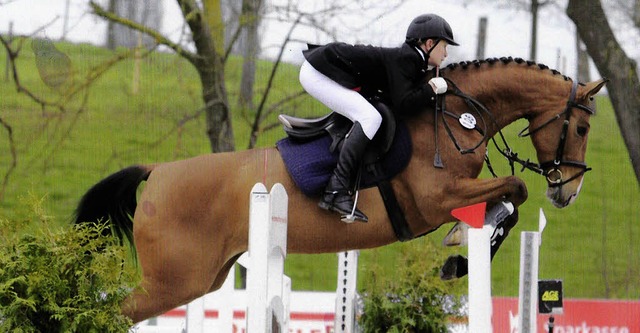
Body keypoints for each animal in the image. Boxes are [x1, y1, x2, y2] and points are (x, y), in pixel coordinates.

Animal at [74, 57, 604, 322]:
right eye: (579, 127)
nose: (569, 191)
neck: (455, 116)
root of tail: (158, 171)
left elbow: (509, 199)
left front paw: (462, 249)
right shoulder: (436, 198)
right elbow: (514, 190)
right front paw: (460, 253)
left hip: (202, 278)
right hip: (173, 281)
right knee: (114, 312)